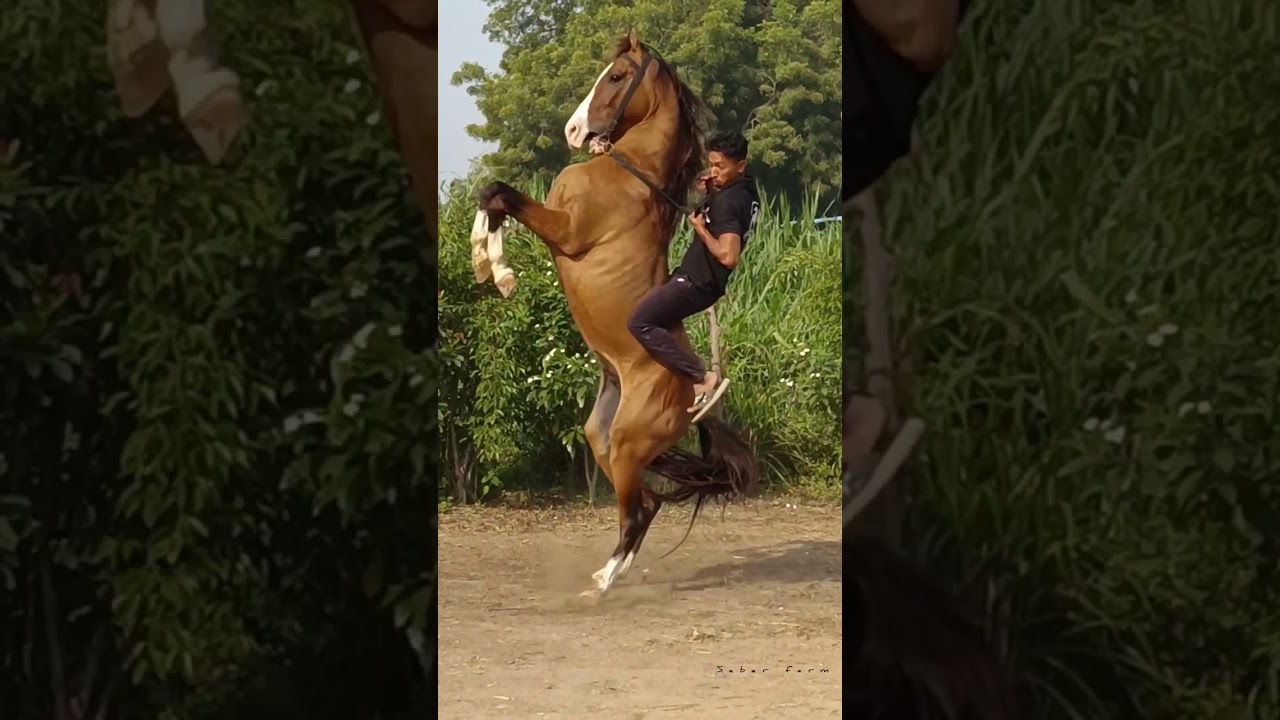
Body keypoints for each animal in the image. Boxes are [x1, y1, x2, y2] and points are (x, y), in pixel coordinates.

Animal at [469, 28, 759, 597]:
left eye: (618, 76)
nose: (573, 130)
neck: (629, 174)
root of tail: (689, 407)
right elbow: (492, 197)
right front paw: (483, 258)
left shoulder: (565, 229)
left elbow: (501, 195)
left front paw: (498, 271)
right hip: (603, 437)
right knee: (644, 504)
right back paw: (611, 573)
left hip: (627, 444)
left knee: (638, 509)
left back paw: (602, 585)